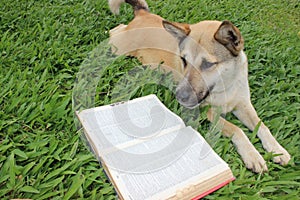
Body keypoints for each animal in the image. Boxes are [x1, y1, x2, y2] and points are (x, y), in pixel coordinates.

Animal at [106, 0, 290, 172]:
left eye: (208, 64)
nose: (180, 96)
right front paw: (252, 155)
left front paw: (277, 149)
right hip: (118, 48)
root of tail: (143, 14)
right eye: (184, 60)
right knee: (115, 31)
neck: (226, 86)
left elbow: (262, 126)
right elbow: (237, 129)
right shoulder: (207, 111)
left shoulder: (243, 105)